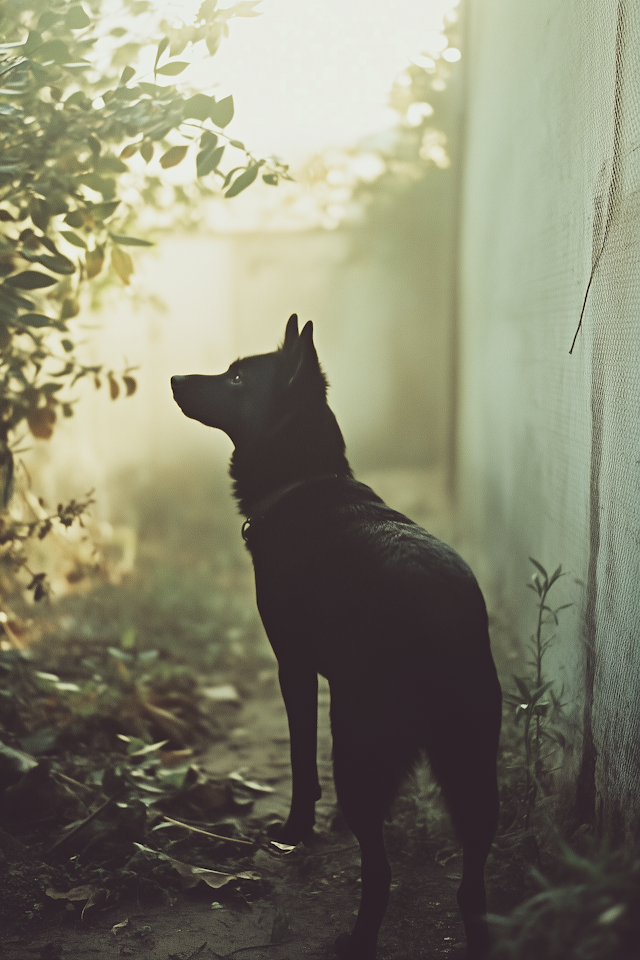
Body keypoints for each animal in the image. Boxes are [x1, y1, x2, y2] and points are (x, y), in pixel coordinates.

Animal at [172, 316, 502, 960]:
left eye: (237, 377)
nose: (174, 378)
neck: (304, 481)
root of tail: (442, 623)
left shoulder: (294, 669)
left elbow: (301, 763)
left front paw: (294, 832)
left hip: (358, 749)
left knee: (380, 872)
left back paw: (357, 940)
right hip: (474, 768)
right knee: (472, 889)